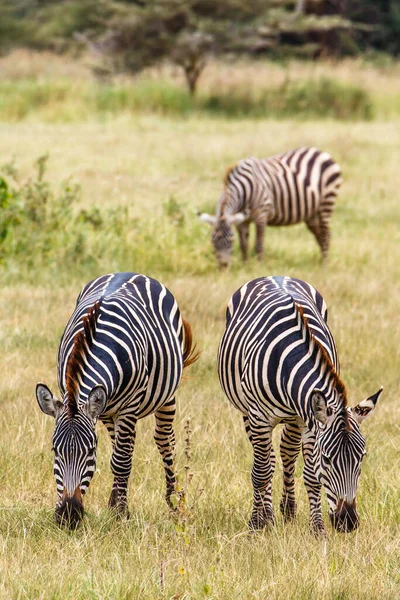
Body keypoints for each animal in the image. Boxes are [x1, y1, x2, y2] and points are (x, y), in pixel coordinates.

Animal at [35, 270, 198, 528]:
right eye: (54, 450)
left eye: (91, 451)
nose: (69, 516)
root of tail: (131, 273)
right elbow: (117, 457)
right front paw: (116, 506)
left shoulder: (130, 405)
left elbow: (121, 460)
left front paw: (121, 513)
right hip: (109, 410)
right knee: (121, 445)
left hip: (165, 395)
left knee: (163, 441)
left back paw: (174, 500)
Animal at [198, 146, 342, 268]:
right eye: (212, 240)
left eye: (231, 239)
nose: (223, 267)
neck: (244, 193)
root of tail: (321, 152)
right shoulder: (242, 220)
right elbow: (244, 244)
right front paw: (245, 265)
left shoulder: (261, 214)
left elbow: (258, 244)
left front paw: (259, 267)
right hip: (312, 213)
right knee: (320, 235)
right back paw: (322, 261)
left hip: (326, 203)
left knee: (326, 235)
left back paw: (325, 265)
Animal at [217, 276, 382, 536]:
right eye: (328, 459)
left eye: (362, 458)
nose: (347, 522)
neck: (290, 361)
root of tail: (276, 276)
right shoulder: (259, 416)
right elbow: (261, 472)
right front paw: (257, 524)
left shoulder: (308, 419)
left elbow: (311, 476)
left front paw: (317, 529)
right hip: (248, 413)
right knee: (265, 460)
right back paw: (267, 515)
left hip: (293, 421)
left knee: (285, 452)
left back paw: (287, 510)